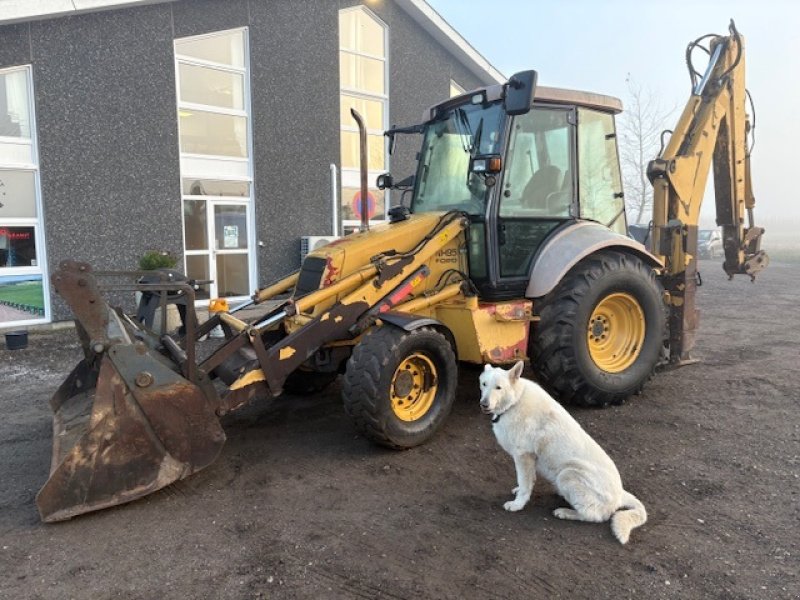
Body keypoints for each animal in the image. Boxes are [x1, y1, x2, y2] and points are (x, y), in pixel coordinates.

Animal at [482, 360, 644, 544]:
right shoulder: (529, 459)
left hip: (567, 474)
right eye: (484, 384)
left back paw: (566, 512)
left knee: (594, 516)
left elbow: (524, 484)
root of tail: (620, 495)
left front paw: (517, 505)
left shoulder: (524, 455)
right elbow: (527, 481)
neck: (515, 401)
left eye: (498, 388)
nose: (484, 404)